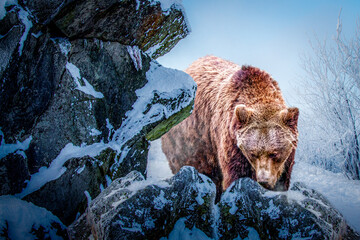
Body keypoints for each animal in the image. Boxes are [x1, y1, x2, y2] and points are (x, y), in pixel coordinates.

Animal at [162, 55, 300, 196]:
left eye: (274, 153)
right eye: (253, 153)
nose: (263, 180)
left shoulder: (287, 161)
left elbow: (283, 180)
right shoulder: (231, 142)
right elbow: (236, 176)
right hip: (190, 143)